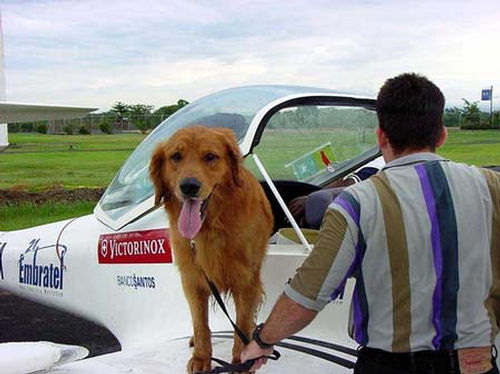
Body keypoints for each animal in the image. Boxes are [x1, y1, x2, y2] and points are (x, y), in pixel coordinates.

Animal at [149, 126, 274, 374]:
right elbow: (200, 323)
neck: (212, 227)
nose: (189, 186)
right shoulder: (192, 279)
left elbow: (242, 321)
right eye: (176, 156)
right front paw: (201, 357)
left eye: (210, 157)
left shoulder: (246, 280)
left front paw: (241, 360)